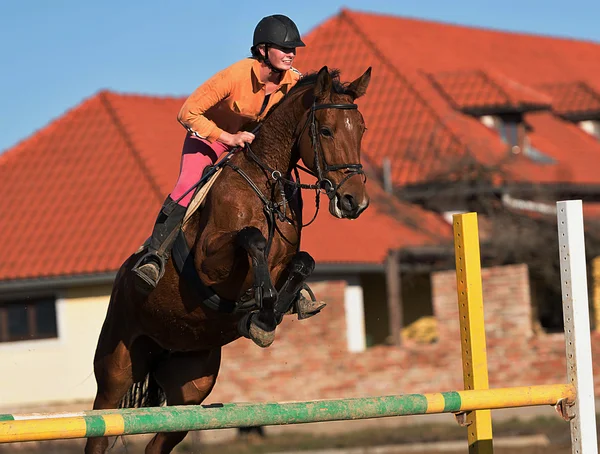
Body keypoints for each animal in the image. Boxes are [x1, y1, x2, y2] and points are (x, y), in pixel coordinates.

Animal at [85, 64, 370, 454]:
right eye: (326, 130)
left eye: (362, 129)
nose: (355, 202)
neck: (268, 185)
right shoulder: (209, 263)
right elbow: (253, 240)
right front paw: (261, 307)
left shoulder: (288, 259)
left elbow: (303, 262)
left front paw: (268, 316)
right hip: (116, 369)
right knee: (101, 423)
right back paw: (149, 268)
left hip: (192, 386)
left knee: (161, 439)